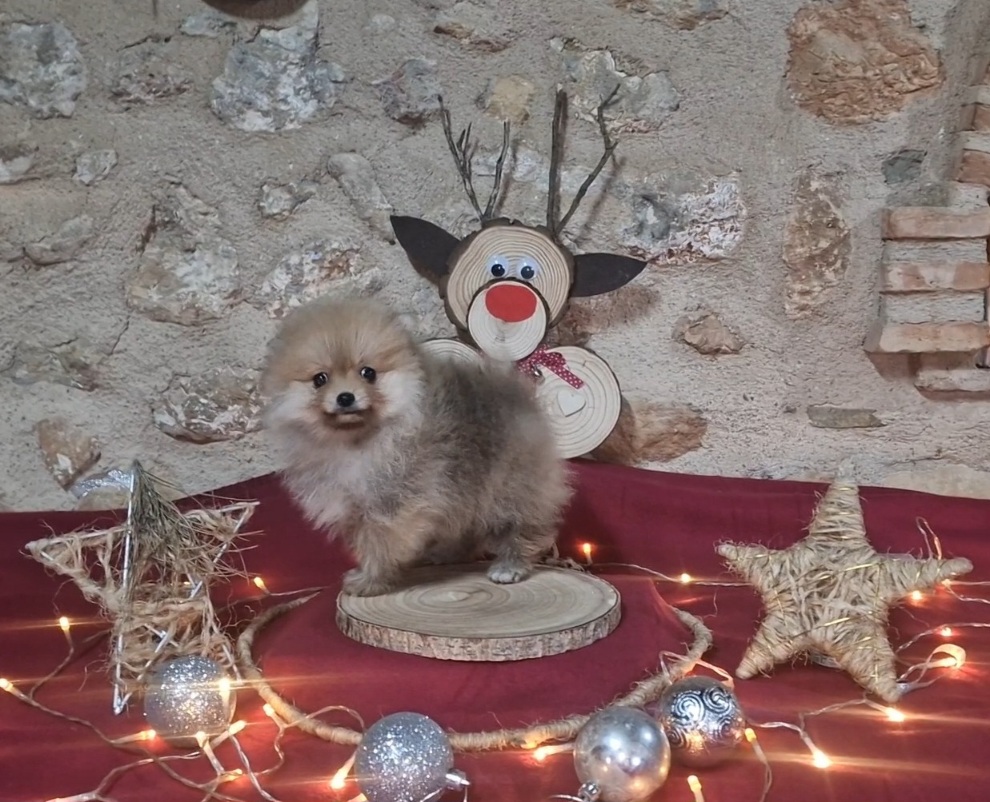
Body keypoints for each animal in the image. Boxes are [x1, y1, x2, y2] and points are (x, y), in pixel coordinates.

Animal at [262, 296, 572, 596]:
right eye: (320, 379)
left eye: (368, 373)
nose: (345, 397)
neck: (359, 441)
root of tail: (514, 391)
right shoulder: (356, 504)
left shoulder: (394, 505)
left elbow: (379, 544)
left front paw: (370, 580)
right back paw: (449, 553)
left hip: (510, 483)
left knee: (521, 522)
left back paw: (511, 564)